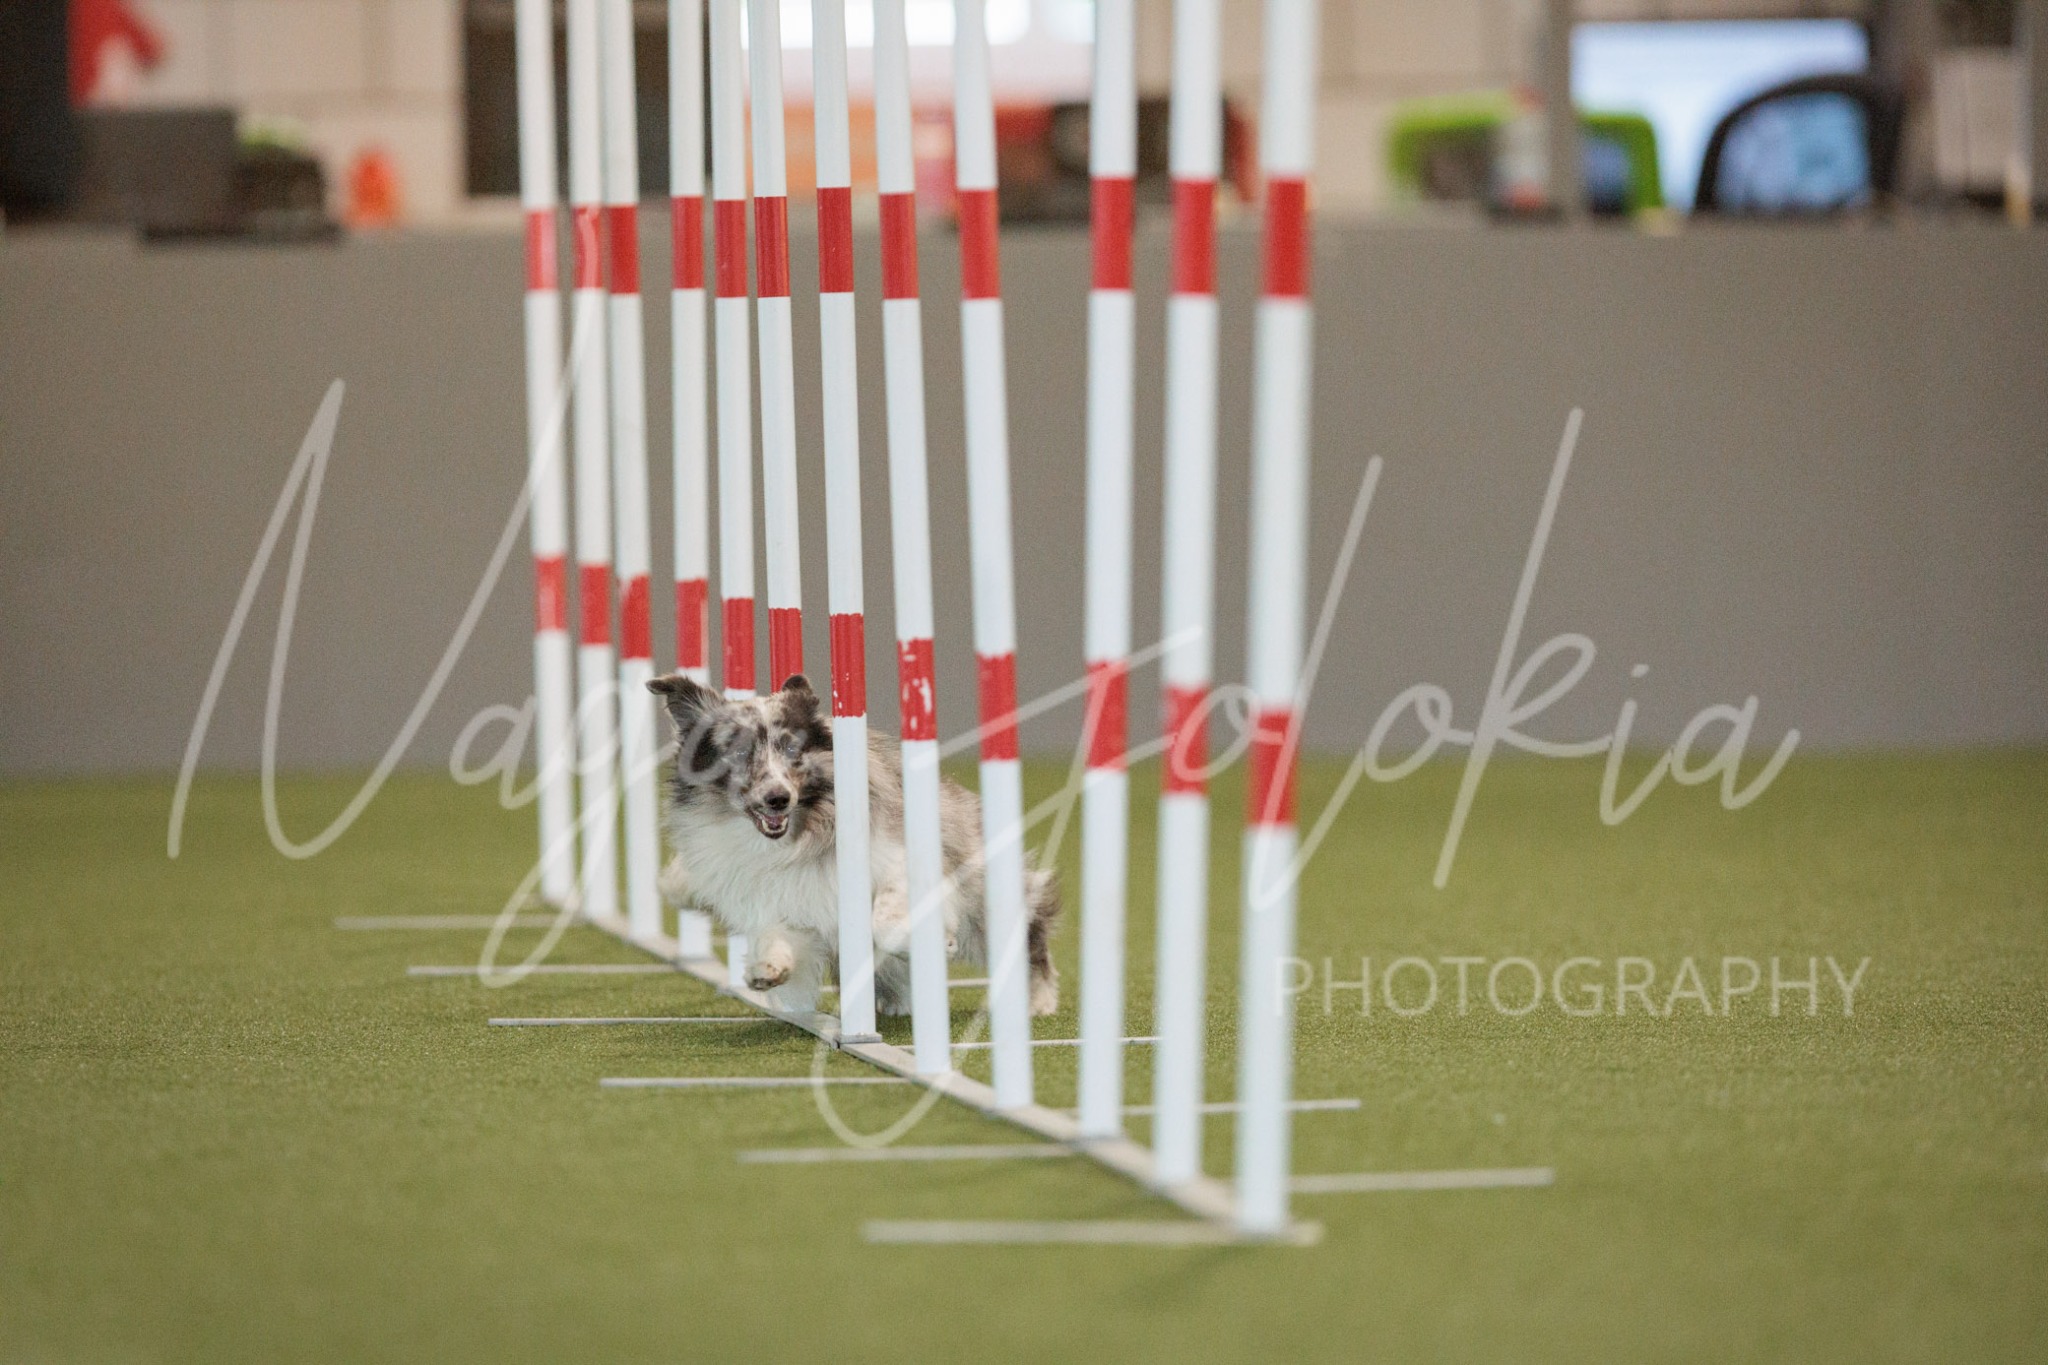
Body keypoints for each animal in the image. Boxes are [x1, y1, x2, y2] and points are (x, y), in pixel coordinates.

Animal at [647, 671, 1060, 1018]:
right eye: (738, 752)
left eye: (793, 750)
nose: (778, 799)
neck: (799, 833)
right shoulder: (780, 896)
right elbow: (774, 931)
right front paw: (766, 968)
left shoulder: (897, 860)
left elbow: (884, 920)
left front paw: (932, 940)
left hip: (981, 893)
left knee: (1030, 941)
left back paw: (1038, 1002)